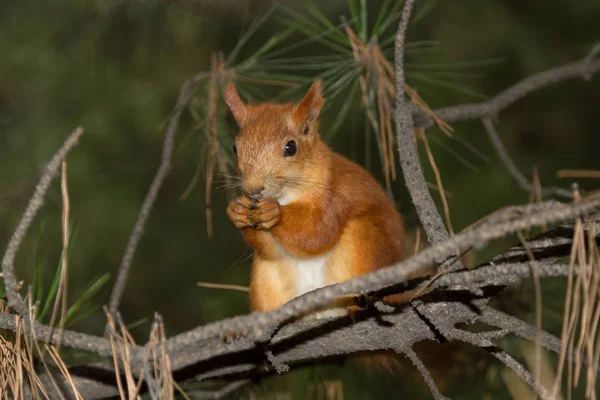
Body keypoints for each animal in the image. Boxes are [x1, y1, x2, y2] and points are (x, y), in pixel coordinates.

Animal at [223, 81, 410, 318]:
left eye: (291, 147)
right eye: (235, 147)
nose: (253, 188)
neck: (287, 195)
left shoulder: (334, 193)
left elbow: (319, 231)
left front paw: (275, 212)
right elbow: (270, 250)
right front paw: (235, 210)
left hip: (363, 243)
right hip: (266, 280)